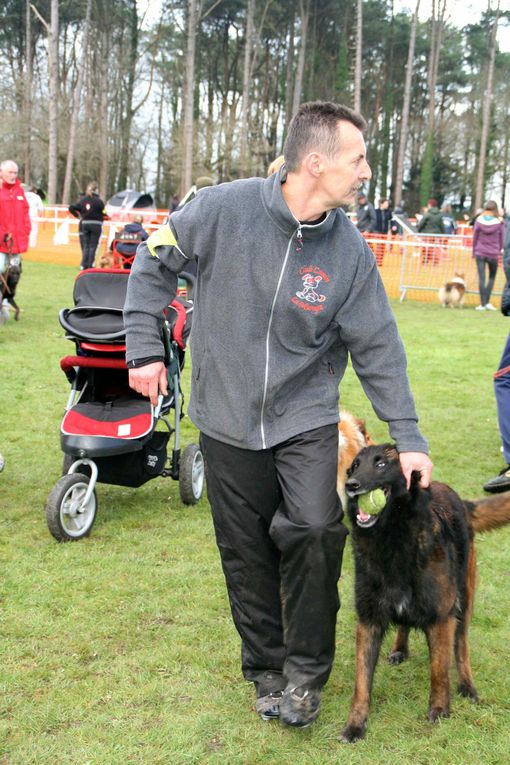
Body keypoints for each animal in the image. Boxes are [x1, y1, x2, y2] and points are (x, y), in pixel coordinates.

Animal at [338, 444, 510, 744]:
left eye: (381, 464)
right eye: (355, 466)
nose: (351, 485)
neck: (391, 540)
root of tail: (459, 500)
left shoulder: (441, 618)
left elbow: (439, 671)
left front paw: (440, 710)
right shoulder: (369, 621)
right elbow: (361, 683)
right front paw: (356, 725)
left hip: (464, 602)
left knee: (461, 646)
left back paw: (467, 685)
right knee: (405, 625)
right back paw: (399, 648)